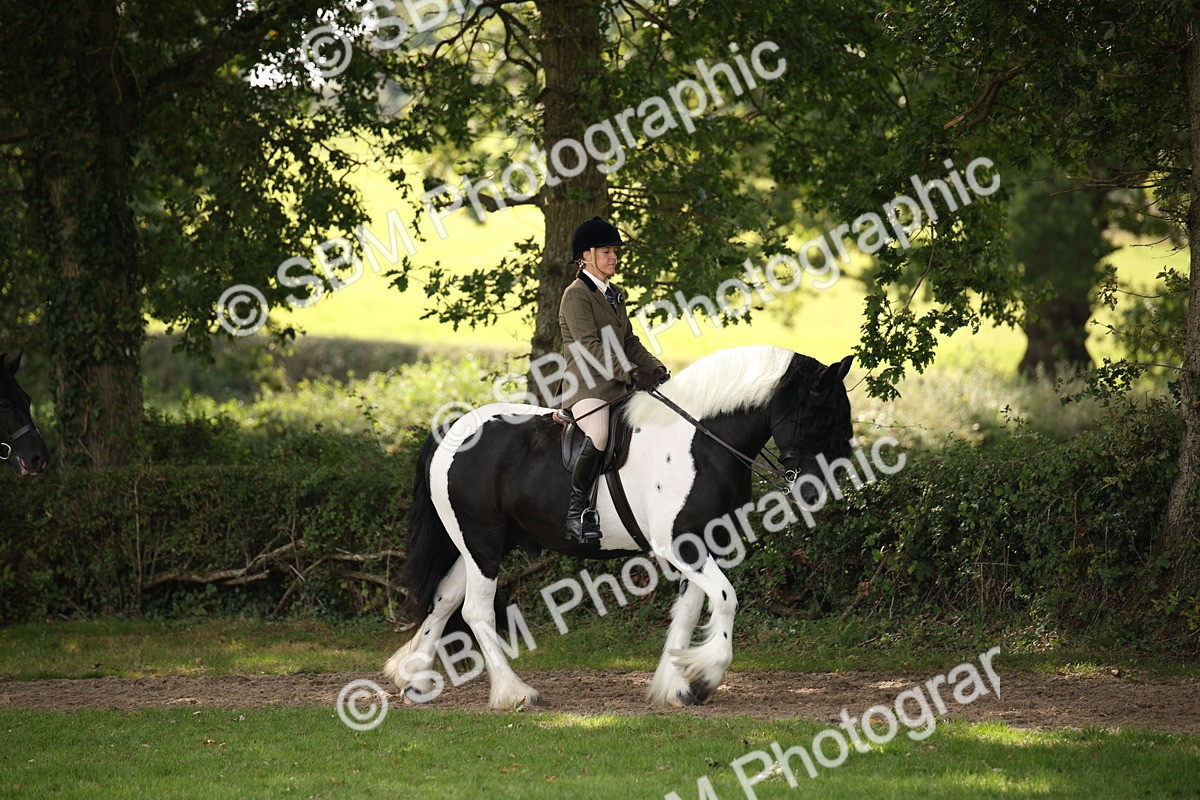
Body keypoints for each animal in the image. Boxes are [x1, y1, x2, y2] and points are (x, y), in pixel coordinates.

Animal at [384, 344, 854, 709]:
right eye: (821, 417)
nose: (824, 492)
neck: (700, 442)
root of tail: (452, 428)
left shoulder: (702, 541)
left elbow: (688, 610)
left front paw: (675, 685)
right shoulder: (680, 545)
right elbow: (725, 599)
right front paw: (706, 674)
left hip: (483, 543)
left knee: (444, 598)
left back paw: (414, 678)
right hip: (481, 540)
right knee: (475, 611)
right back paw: (514, 693)